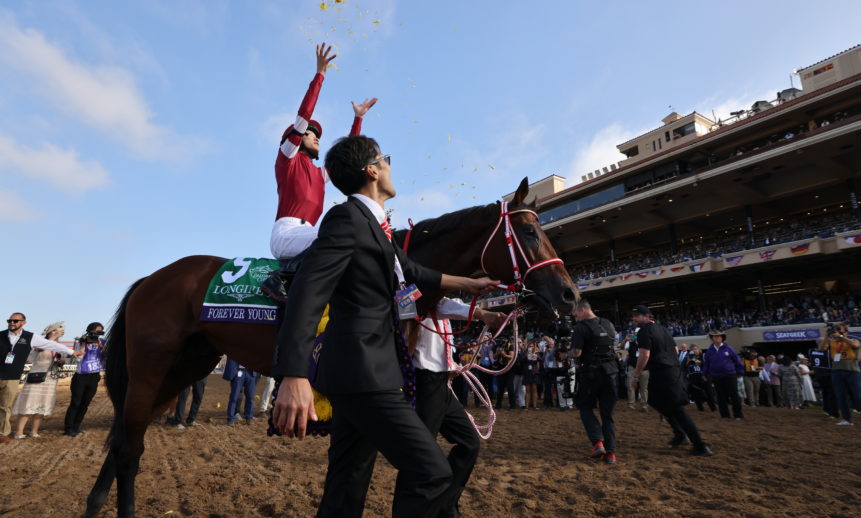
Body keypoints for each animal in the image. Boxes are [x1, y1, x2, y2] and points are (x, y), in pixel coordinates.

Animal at [83, 177, 578, 518]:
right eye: (530, 234)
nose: (571, 296)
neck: (403, 277)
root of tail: (153, 278)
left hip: (184, 367)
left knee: (126, 440)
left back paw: (95, 503)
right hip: (152, 367)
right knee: (128, 448)